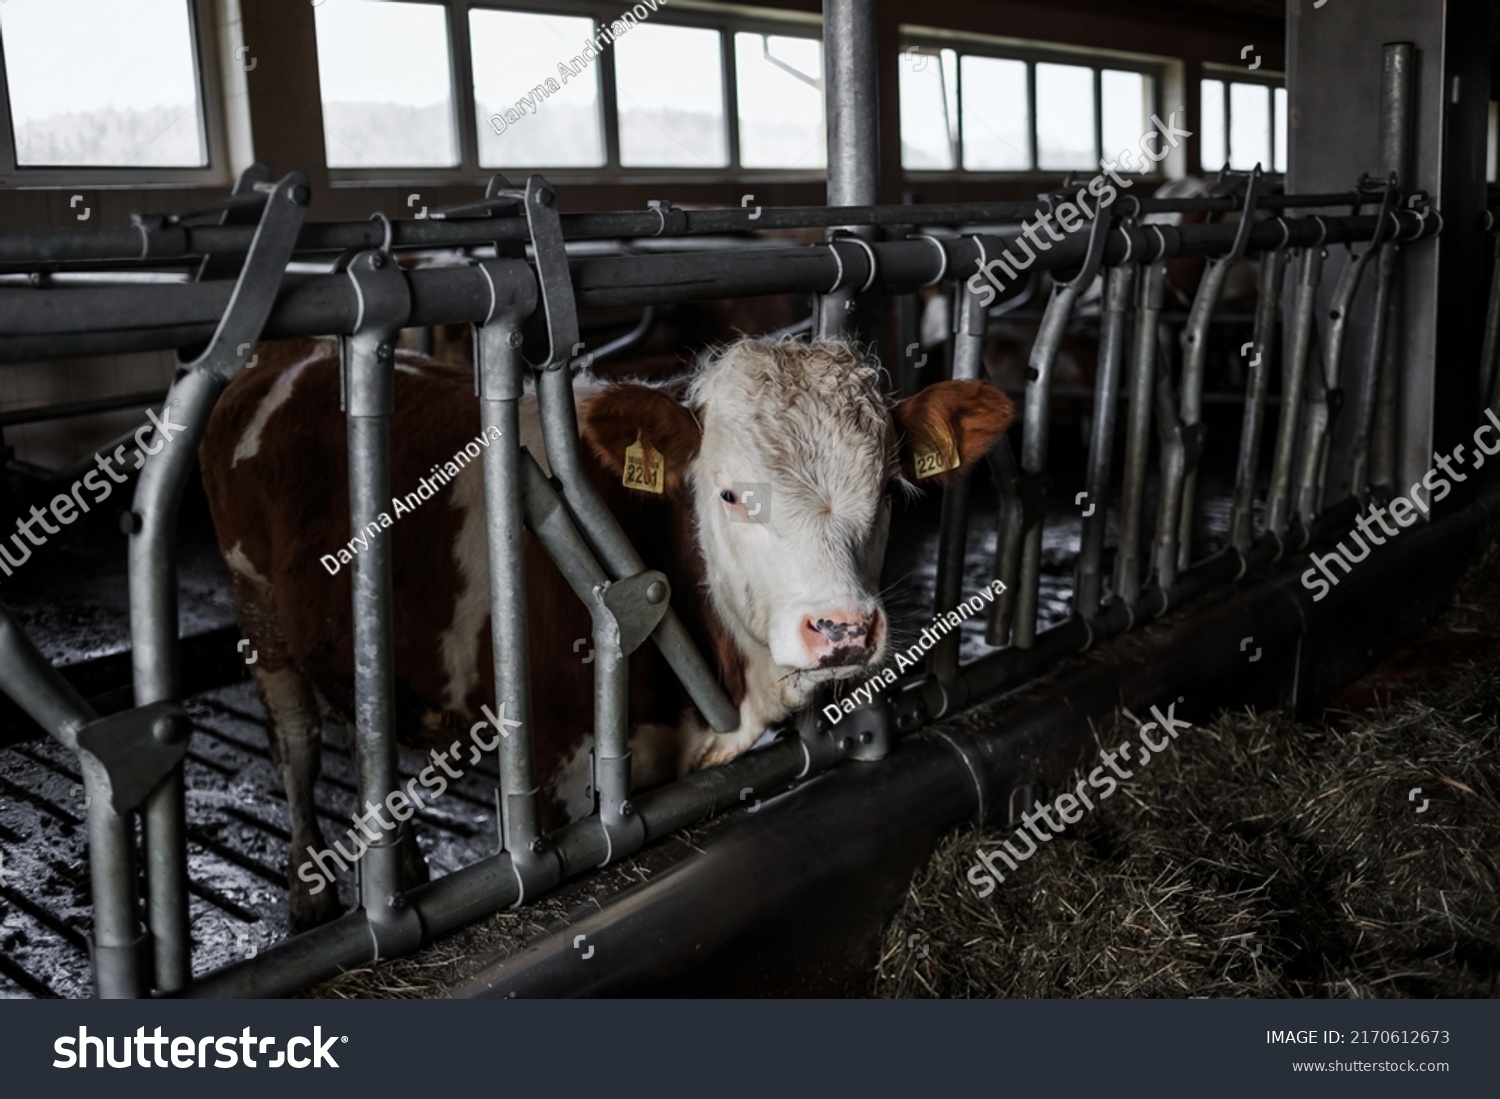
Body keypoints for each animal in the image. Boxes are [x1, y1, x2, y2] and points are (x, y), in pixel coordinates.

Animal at [199, 334, 1014, 923]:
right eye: (729, 494)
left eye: (887, 490)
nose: (842, 628)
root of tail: (286, 354)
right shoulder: (556, 761)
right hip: (256, 607)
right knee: (299, 740)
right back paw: (311, 894)